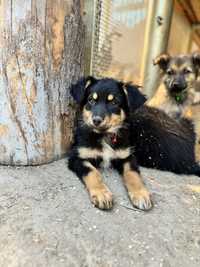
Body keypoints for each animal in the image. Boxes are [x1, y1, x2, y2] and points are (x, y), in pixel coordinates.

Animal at [69, 77, 200, 211]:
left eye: (114, 102)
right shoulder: (77, 157)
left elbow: (132, 173)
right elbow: (92, 172)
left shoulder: (127, 156)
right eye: (91, 100)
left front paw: (141, 194)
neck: (105, 135)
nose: (96, 120)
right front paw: (102, 194)